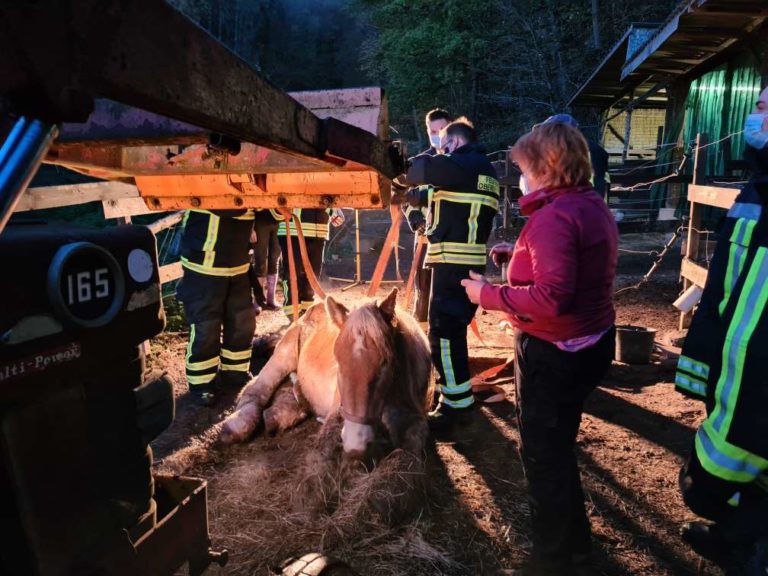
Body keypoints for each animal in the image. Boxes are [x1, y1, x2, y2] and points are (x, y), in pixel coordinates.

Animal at [219, 288, 432, 460]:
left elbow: (415, 442)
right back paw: (237, 424)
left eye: (386, 362)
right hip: (284, 354)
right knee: (257, 387)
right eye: (337, 360)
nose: (356, 443)